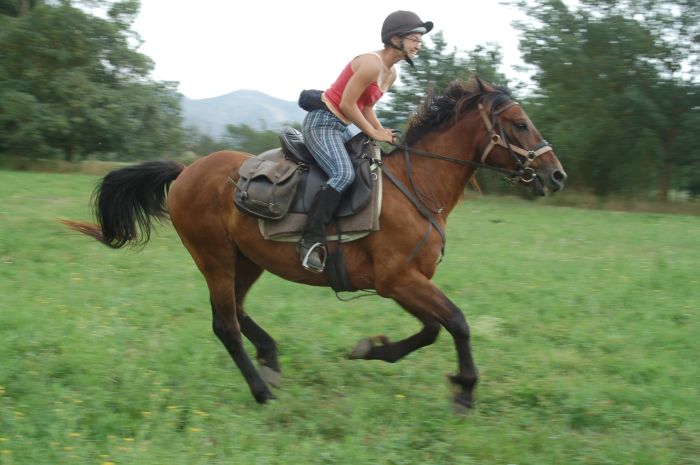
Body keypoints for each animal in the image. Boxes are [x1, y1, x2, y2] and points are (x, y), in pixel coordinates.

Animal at [64, 78, 564, 408]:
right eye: (520, 124)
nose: (556, 175)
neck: (416, 186)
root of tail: (187, 170)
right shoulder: (398, 279)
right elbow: (457, 323)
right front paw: (465, 389)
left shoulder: (405, 283)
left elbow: (431, 330)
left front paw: (374, 350)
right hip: (216, 258)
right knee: (225, 325)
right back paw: (262, 392)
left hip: (246, 260)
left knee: (235, 312)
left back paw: (269, 359)